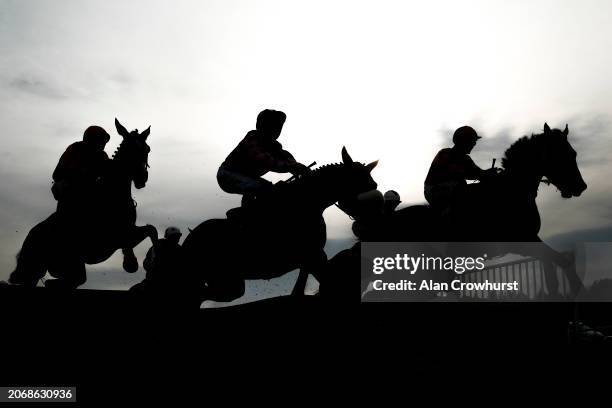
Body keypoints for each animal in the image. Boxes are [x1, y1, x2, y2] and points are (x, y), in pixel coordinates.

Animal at [8, 119, 158, 288]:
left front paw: (132, 261)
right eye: (129, 149)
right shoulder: (117, 235)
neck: (112, 193)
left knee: (70, 280)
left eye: (147, 149)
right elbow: (150, 230)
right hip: (37, 268)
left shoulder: (128, 232)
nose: (142, 178)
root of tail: (29, 236)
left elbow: (151, 230)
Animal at [179, 147, 376, 302]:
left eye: (374, 185)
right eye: (362, 184)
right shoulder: (313, 257)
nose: (368, 219)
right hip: (225, 280)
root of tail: (190, 238)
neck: (307, 203)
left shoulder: (312, 258)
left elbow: (301, 289)